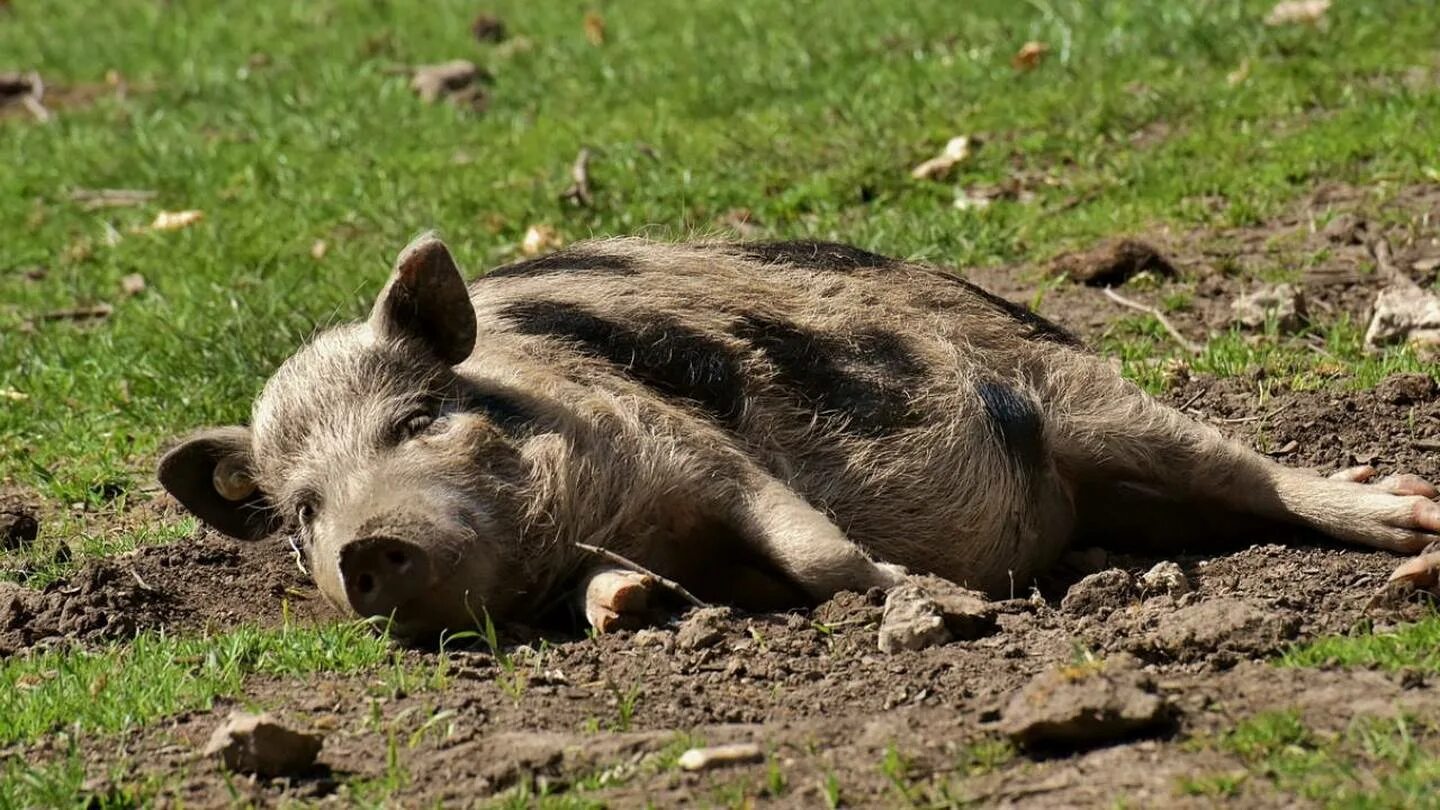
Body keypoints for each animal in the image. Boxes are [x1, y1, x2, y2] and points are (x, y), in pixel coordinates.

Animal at [154, 233, 1440, 637]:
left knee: (1254, 473)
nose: (365, 545)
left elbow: (814, 546)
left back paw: (1406, 520)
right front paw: (636, 607)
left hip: (1086, 394)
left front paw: (926, 597)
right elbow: (607, 591)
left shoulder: (691, 445)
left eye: (420, 416)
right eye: (301, 514)